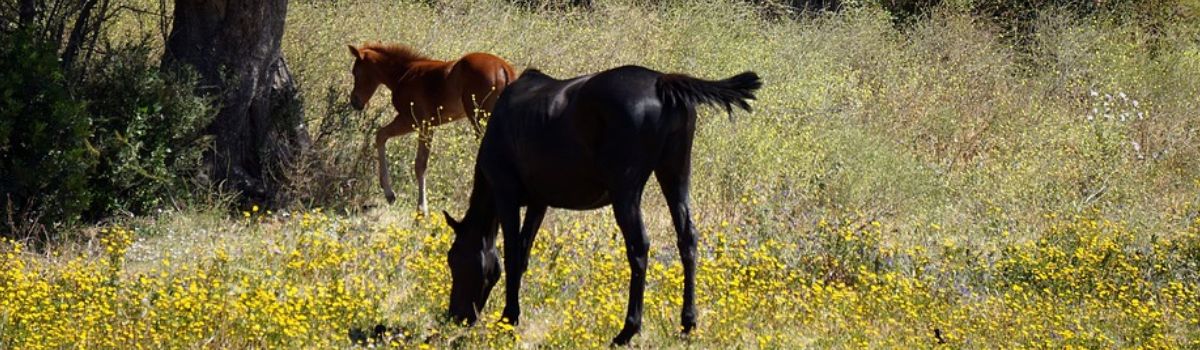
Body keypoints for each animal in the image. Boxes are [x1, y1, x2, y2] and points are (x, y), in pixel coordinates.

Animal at [348, 43, 516, 213]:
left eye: (355, 72)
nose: (354, 101)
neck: (403, 74)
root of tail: (504, 68)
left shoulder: (414, 121)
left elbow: (414, 161)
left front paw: (418, 207)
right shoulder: (428, 126)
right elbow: (385, 138)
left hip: (480, 120)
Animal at [441, 65, 758, 345]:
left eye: (454, 259)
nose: (455, 317)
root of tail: (661, 82)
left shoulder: (505, 195)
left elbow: (511, 256)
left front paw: (508, 319)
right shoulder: (538, 204)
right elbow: (522, 255)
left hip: (626, 190)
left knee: (639, 247)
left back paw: (627, 330)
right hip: (675, 173)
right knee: (687, 238)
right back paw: (688, 323)